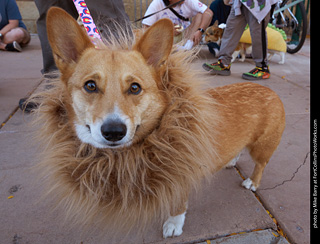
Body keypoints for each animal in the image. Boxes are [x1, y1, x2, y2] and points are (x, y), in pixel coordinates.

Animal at [32, 7, 286, 240]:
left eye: (135, 87)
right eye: (90, 86)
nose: (113, 132)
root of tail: (270, 91)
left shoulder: (180, 176)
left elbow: (178, 206)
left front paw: (173, 225)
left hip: (262, 148)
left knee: (260, 164)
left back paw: (252, 182)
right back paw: (231, 160)